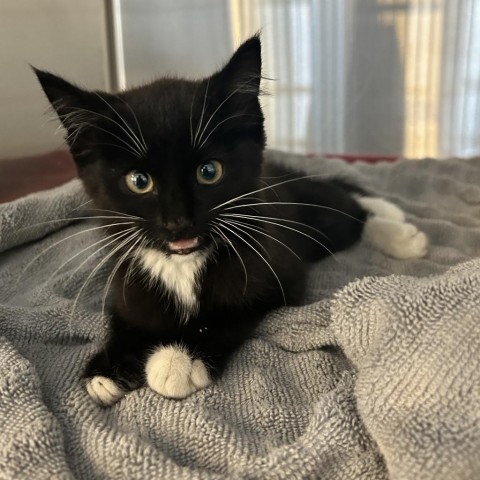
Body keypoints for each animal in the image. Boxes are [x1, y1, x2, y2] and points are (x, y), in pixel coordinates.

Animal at [34, 35, 428, 406]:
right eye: (139, 181)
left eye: (209, 172)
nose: (178, 223)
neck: (183, 263)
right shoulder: (127, 269)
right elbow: (126, 313)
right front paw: (109, 366)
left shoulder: (276, 271)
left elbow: (230, 312)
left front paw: (178, 359)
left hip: (319, 221)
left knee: (350, 210)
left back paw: (397, 228)